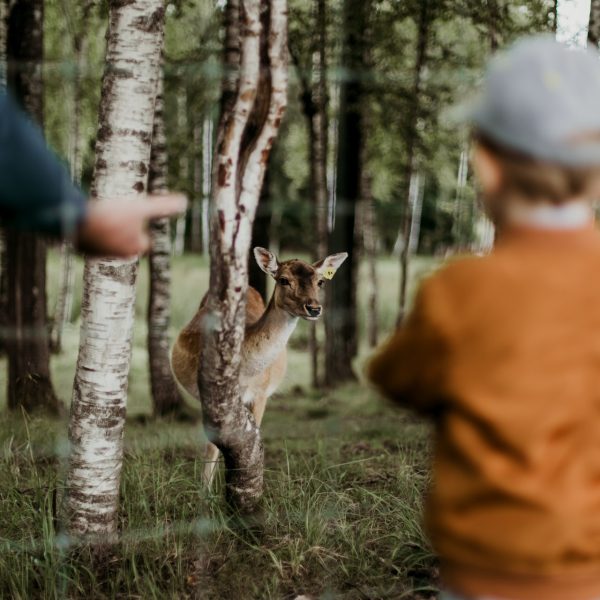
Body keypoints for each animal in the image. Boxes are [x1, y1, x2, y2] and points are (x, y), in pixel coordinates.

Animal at [170, 246, 346, 486]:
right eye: (283, 280)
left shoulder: (261, 393)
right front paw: (205, 490)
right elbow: (212, 447)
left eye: (320, 281)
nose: (314, 308)